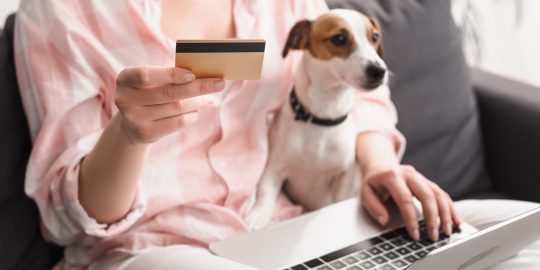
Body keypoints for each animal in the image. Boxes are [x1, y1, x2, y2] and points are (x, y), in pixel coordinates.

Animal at [245, 9, 388, 229]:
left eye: (374, 37)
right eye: (339, 38)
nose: (379, 71)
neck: (322, 118)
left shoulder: (344, 175)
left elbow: (339, 200)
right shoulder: (274, 169)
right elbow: (265, 194)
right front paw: (258, 216)